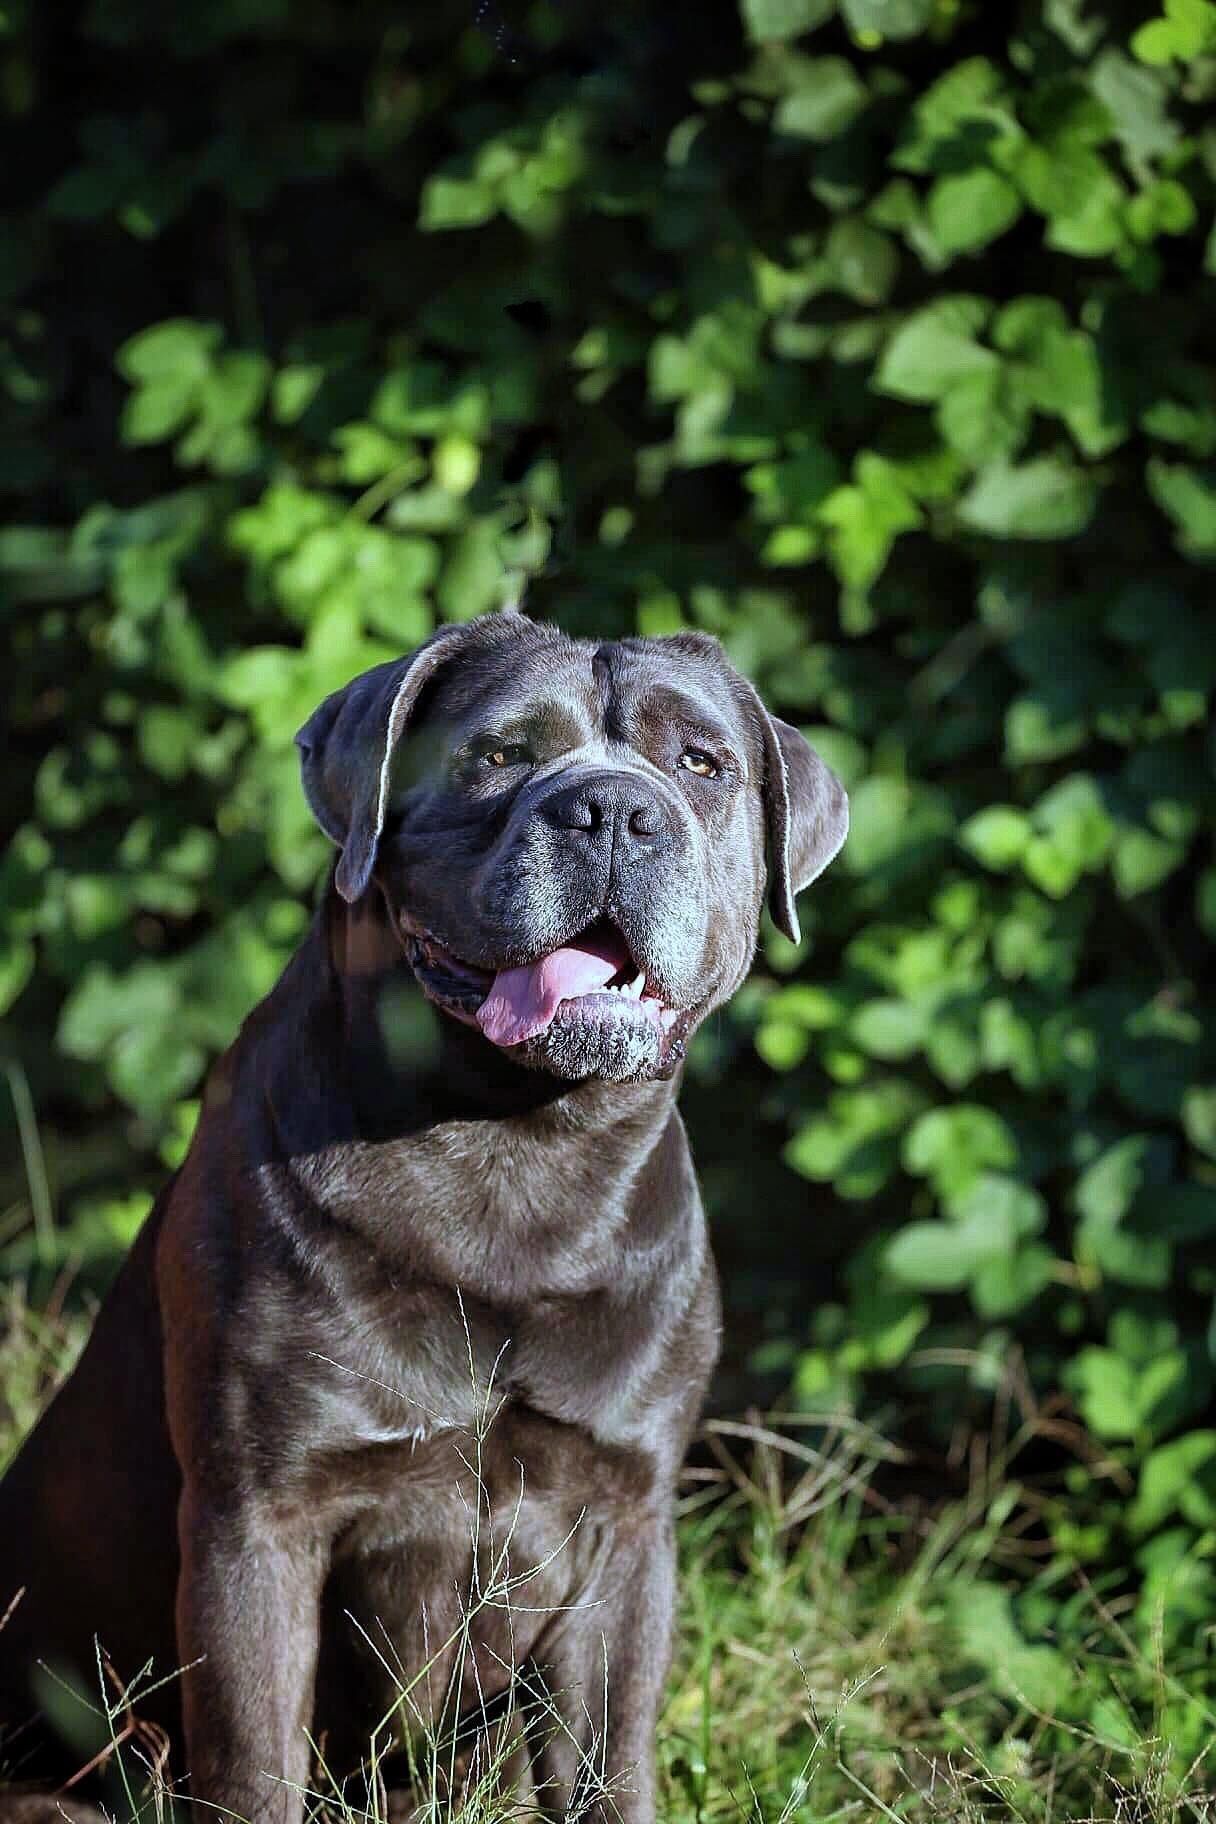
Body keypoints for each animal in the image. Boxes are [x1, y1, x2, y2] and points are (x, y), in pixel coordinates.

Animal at [0, 605, 845, 1816]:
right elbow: (254, 1761)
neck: (518, 1145)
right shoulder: (259, 1522)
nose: (614, 811)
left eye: (701, 765)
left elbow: (607, 1763)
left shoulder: (624, 1532)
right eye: (500, 754)